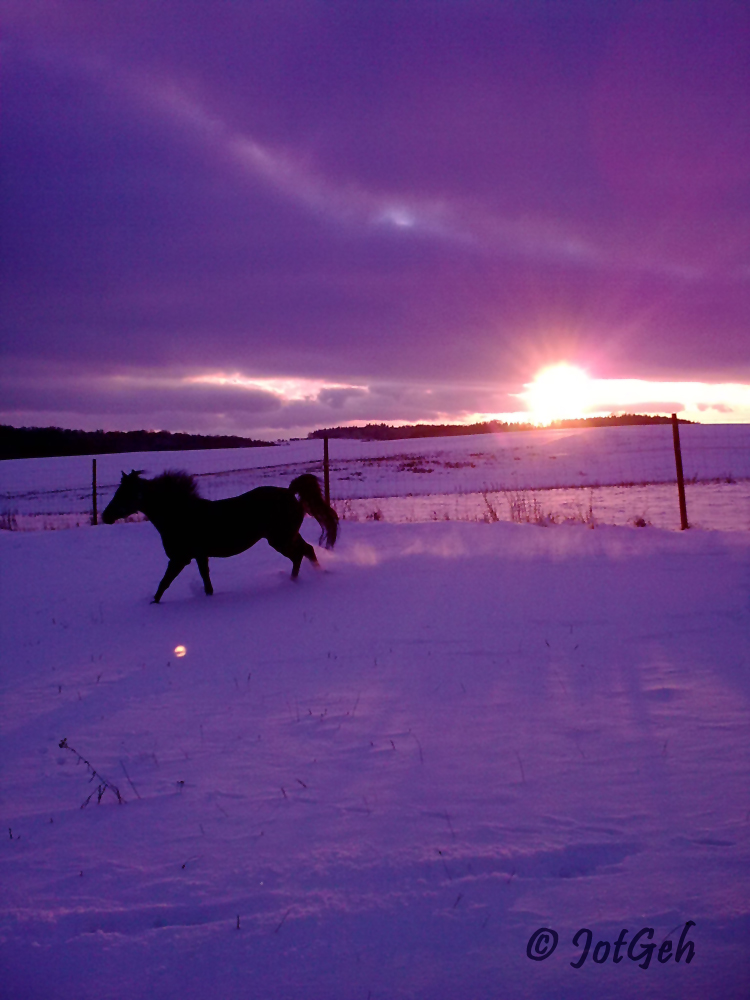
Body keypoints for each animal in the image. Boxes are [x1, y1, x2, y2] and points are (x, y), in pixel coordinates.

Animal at [102, 468, 338, 600]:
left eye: (125, 493)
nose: (105, 516)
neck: (179, 514)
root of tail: (290, 493)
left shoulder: (180, 558)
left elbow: (164, 583)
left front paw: (153, 603)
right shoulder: (199, 556)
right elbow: (205, 580)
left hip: (280, 539)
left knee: (300, 554)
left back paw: (294, 582)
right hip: (286, 536)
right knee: (307, 550)